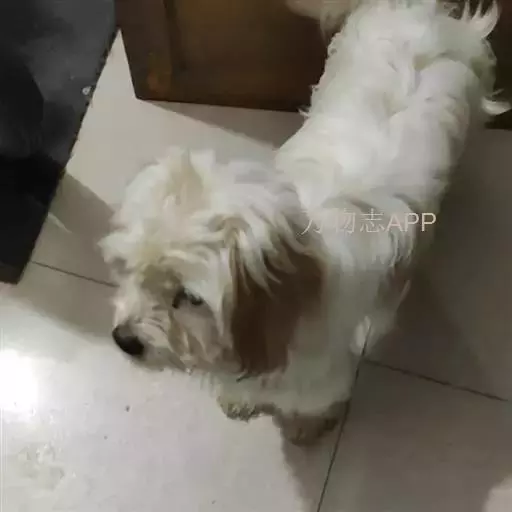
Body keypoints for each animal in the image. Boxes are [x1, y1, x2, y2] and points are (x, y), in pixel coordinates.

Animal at [101, 0, 506, 444]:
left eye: (189, 298)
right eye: (130, 269)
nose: (124, 340)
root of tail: (417, 11)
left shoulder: (319, 374)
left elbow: (310, 402)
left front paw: (305, 427)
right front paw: (239, 397)